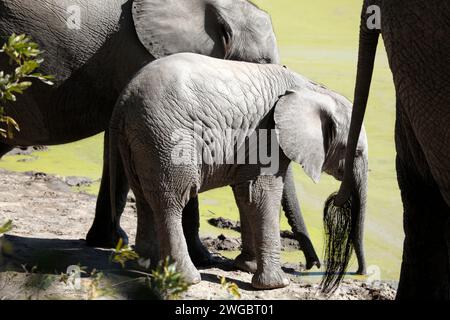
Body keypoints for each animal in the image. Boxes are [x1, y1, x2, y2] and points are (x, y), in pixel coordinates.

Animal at [108, 53, 366, 290]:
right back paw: (187, 279)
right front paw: (276, 285)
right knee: (172, 201)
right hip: (165, 140)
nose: (315, 265)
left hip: (138, 141)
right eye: (357, 152)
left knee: (144, 198)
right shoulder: (266, 135)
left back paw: (145, 267)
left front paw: (247, 267)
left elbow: (246, 195)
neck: (312, 88)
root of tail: (123, 101)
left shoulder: (252, 139)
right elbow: (263, 195)